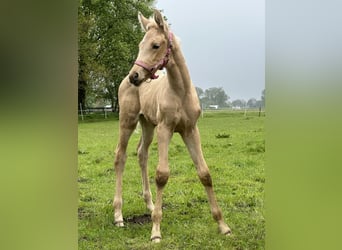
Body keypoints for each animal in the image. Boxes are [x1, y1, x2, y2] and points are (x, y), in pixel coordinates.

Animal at [113, 10, 231, 242]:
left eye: (155, 45)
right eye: (140, 45)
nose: (134, 76)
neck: (180, 92)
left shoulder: (190, 130)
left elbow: (205, 173)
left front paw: (223, 226)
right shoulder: (165, 129)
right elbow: (162, 174)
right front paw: (156, 231)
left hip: (148, 124)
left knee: (141, 154)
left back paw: (150, 205)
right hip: (128, 121)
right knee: (120, 156)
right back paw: (119, 215)